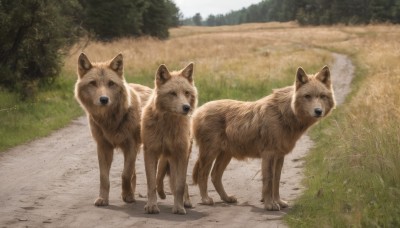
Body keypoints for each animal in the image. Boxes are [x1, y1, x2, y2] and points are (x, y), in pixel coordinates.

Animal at [74, 52, 151, 206]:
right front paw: (103, 199)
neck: (110, 120)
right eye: (93, 83)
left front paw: (127, 196)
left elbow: (125, 174)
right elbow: (104, 177)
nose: (104, 99)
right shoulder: (103, 147)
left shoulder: (131, 146)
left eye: (111, 83)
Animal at [192, 65, 336, 211]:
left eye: (322, 96)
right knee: (203, 174)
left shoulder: (279, 156)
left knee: (215, 175)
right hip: (210, 153)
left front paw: (279, 202)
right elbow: (268, 181)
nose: (318, 111)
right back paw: (206, 199)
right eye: (307, 96)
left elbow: (276, 181)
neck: (284, 114)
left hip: (226, 155)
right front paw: (269, 205)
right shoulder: (268, 154)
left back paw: (227, 198)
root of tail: (198, 110)